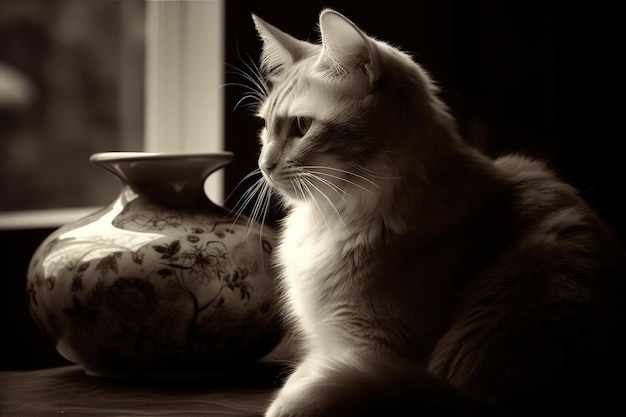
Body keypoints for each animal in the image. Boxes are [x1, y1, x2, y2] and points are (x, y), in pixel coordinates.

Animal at [238, 8, 624, 416]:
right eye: (265, 126)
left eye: (301, 126)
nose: (263, 165)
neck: (339, 214)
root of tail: (489, 403)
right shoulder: (330, 349)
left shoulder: (365, 353)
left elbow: (297, 392)